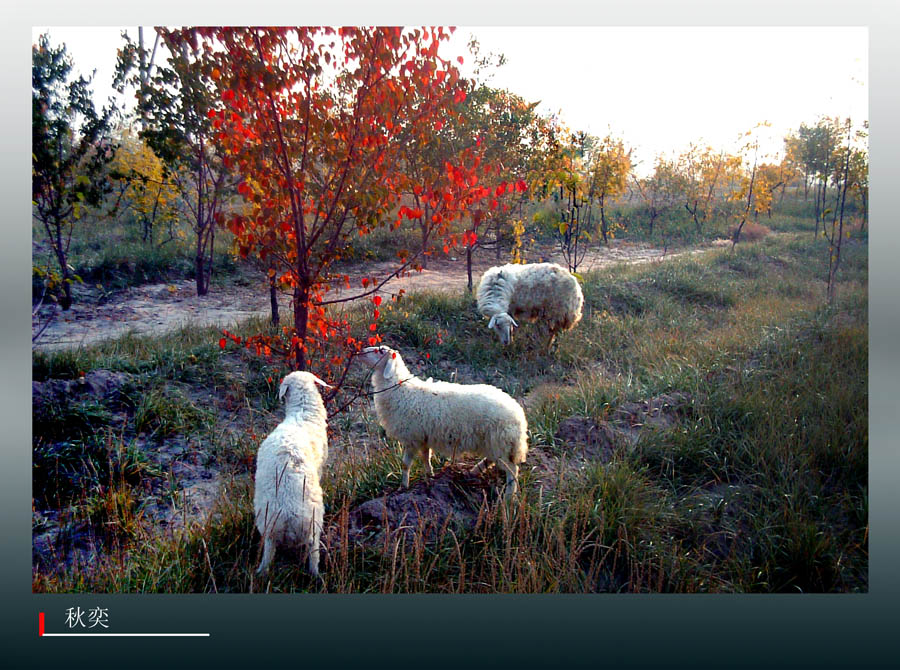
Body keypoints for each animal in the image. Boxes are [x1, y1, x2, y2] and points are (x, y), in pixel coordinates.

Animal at [253, 370, 330, 576]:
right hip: (313, 524)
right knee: (313, 554)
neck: (302, 413)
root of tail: (287, 515)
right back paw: (316, 574)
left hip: (267, 527)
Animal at [356, 350, 532, 502]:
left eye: (380, 351)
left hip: (500, 441)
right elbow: (426, 458)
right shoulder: (423, 436)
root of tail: (519, 416)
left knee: (512, 470)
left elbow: (406, 464)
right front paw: (430, 476)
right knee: (492, 460)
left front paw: (403, 486)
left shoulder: (412, 437)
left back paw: (509, 497)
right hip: (493, 442)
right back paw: (473, 472)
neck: (400, 388)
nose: (360, 352)